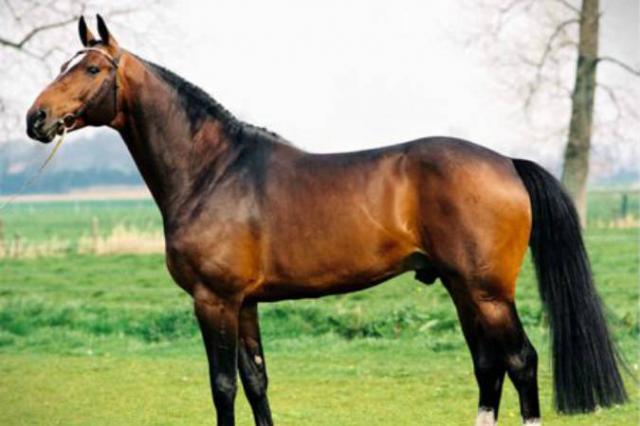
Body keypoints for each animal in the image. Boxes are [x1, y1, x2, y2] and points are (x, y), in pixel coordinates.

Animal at [26, 15, 627, 426]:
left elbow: (222, 385)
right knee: (488, 365)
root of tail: (506, 161)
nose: (36, 118)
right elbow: (256, 381)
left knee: (520, 361)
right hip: (462, 288)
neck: (213, 171)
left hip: (488, 292)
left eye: (92, 68)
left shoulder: (214, 300)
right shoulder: (244, 303)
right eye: (62, 67)